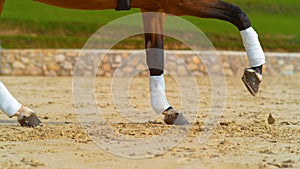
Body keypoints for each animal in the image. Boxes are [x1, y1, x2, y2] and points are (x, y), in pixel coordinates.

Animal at [0, 0, 264, 124]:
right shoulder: (179, 1)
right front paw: (255, 72)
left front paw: (167, 109)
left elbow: (155, 57)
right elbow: (239, 13)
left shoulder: (154, 5)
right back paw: (21, 112)